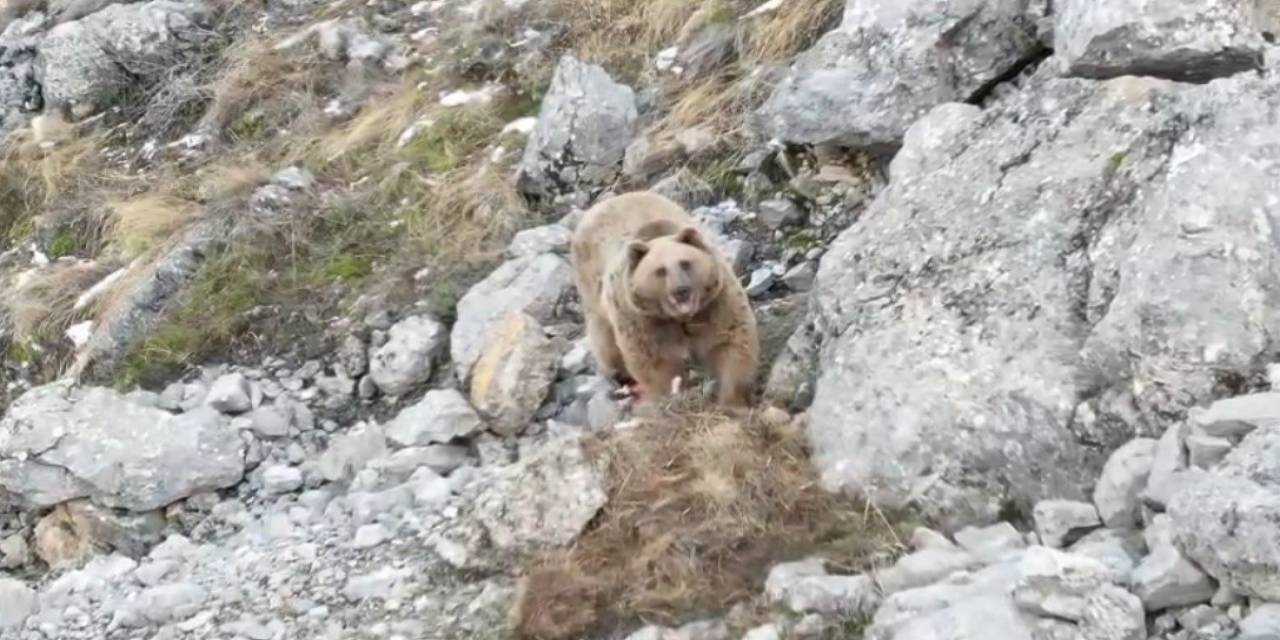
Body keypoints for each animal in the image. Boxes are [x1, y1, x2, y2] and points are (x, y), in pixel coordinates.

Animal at [570, 189, 757, 404]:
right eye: (660, 271)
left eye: (685, 263)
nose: (681, 290)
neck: (681, 318)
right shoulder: (643, 318)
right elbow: (655, 361)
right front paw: (674, 395)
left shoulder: (715, 303)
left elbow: (732, 340)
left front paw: (730, 398)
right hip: (592, 291)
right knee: (605, 341)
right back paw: (621, 377)